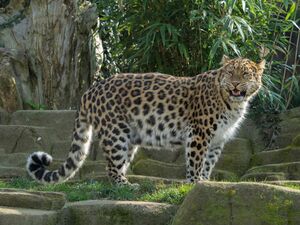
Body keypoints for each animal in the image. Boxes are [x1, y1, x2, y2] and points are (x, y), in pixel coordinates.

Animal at [25, 55, 264, 185]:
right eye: (231, 73)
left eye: (245, 74)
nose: (235, 84)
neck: (233, 103)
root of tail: (90, 90)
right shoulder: (199, 134)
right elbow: (196, 162)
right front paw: (195, 183)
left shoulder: (217, 139)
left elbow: (208, 163)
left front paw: (204, 183)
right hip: (116, 134)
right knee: (111, 167)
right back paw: (127, 186)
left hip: (129, 137)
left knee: (119, 164)